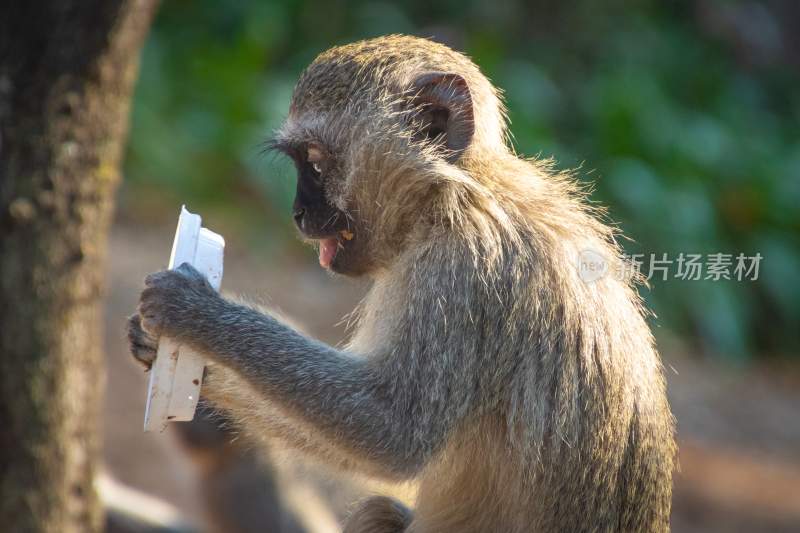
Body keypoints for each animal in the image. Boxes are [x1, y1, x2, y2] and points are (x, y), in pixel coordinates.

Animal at [126, 35, 676, 528]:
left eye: (316, 162)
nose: (298, 214)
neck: (454, 194)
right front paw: (178, 362)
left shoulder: (461, 271)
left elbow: (392, 432)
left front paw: (196, 314)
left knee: (379, 505)